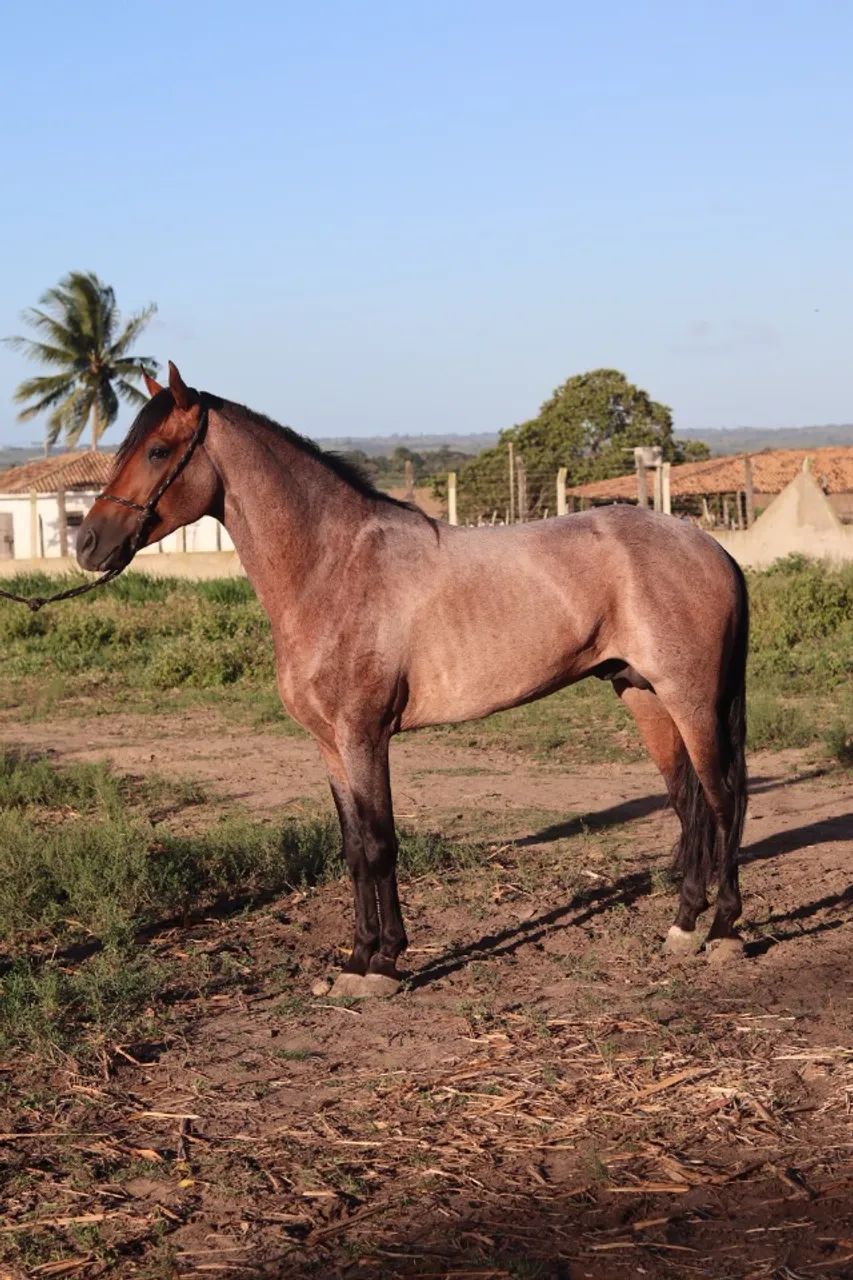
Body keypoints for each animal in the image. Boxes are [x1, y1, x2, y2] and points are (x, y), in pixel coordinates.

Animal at [77, 362, 748, 996]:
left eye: (157, 450)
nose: (87, 542)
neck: (333, 567)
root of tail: (710, 547)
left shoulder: (364, 736)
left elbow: (380, 843)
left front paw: (385, 965)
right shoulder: (330, 745)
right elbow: (353, 849)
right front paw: (357, 960)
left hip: (690, 699)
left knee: (722, 800)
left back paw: (724, 932)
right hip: (644, 696)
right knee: (688, 802)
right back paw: (683, 926)